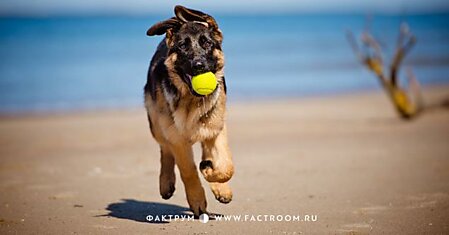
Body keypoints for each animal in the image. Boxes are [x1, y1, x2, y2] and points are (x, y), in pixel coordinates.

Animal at [144, 5, 234, 216]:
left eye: (207, 43)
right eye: (183, 46)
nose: (199, 66)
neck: (192, 101)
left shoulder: (216, 129)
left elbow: (226, 166)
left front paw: (213, 175)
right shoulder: (178, 140)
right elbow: (189, 171)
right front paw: (197, 200)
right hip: (157, 124)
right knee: (165, 149)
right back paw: (166, 183)